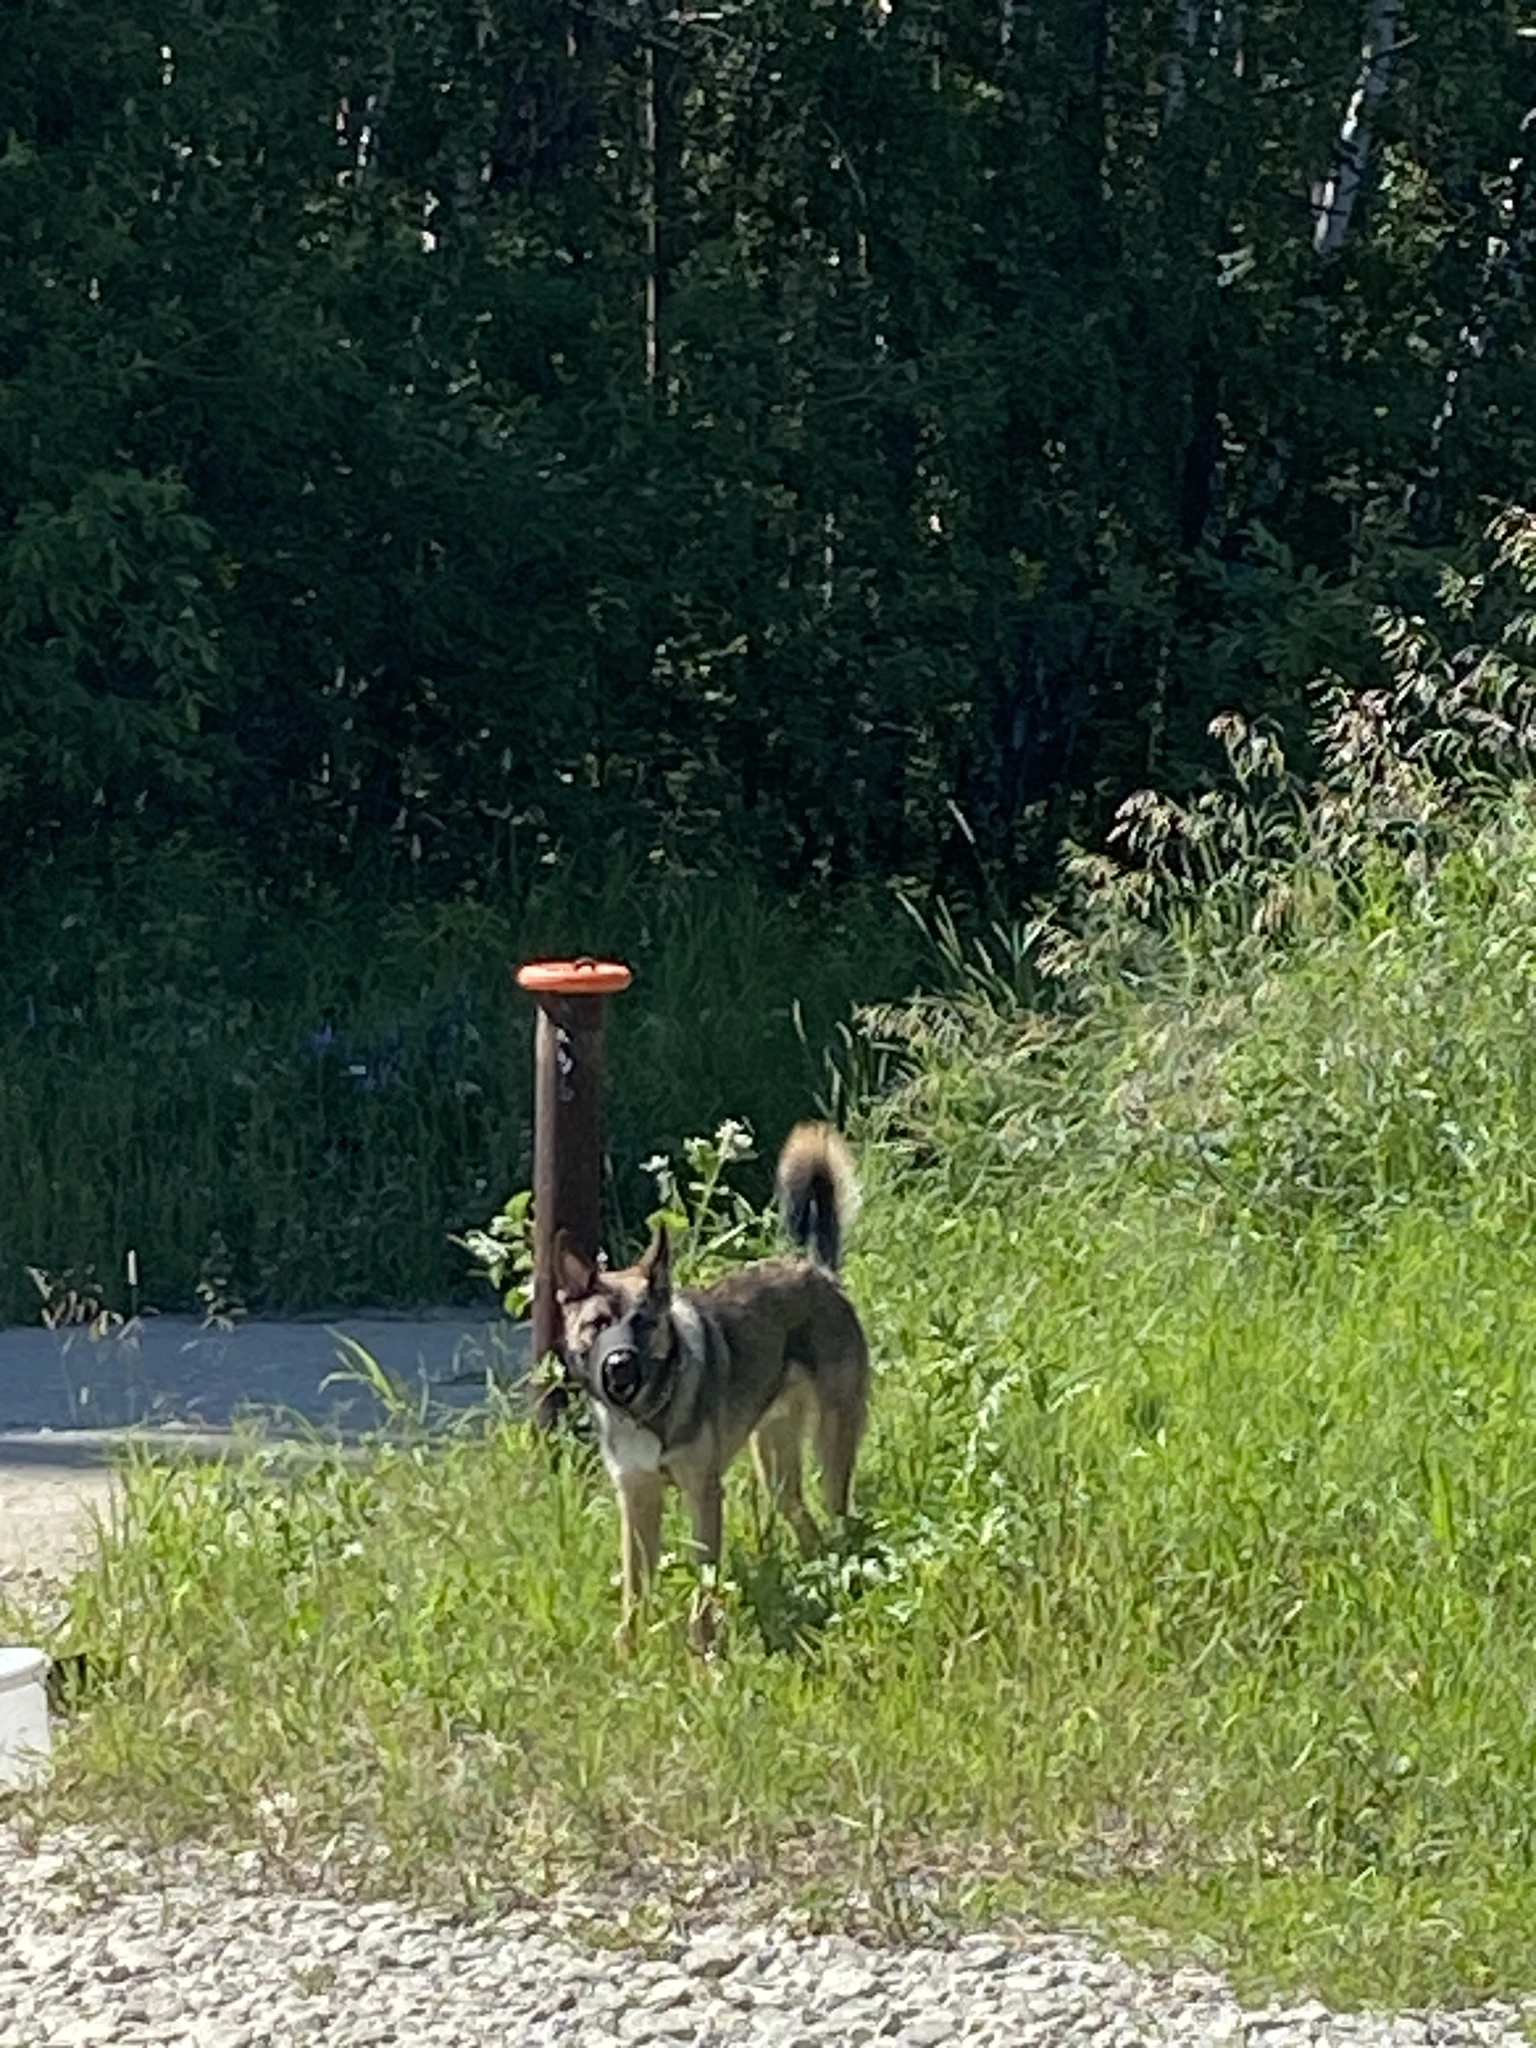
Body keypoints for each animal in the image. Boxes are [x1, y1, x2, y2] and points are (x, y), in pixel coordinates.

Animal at [557, 1122, 872, 1646]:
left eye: (643, 1322)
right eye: (598, 1324)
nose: (620, 1365)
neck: (648, 1414)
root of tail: (820, 1273)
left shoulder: (704, 1494)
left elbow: (704, 1584)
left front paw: (702, 1650)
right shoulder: (637, 1498)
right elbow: (635, 1592)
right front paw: (629, 1652)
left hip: (832, 1446)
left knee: (838, 1513)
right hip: (775, 1464)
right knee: (803, 1517)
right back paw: (817, 1576)